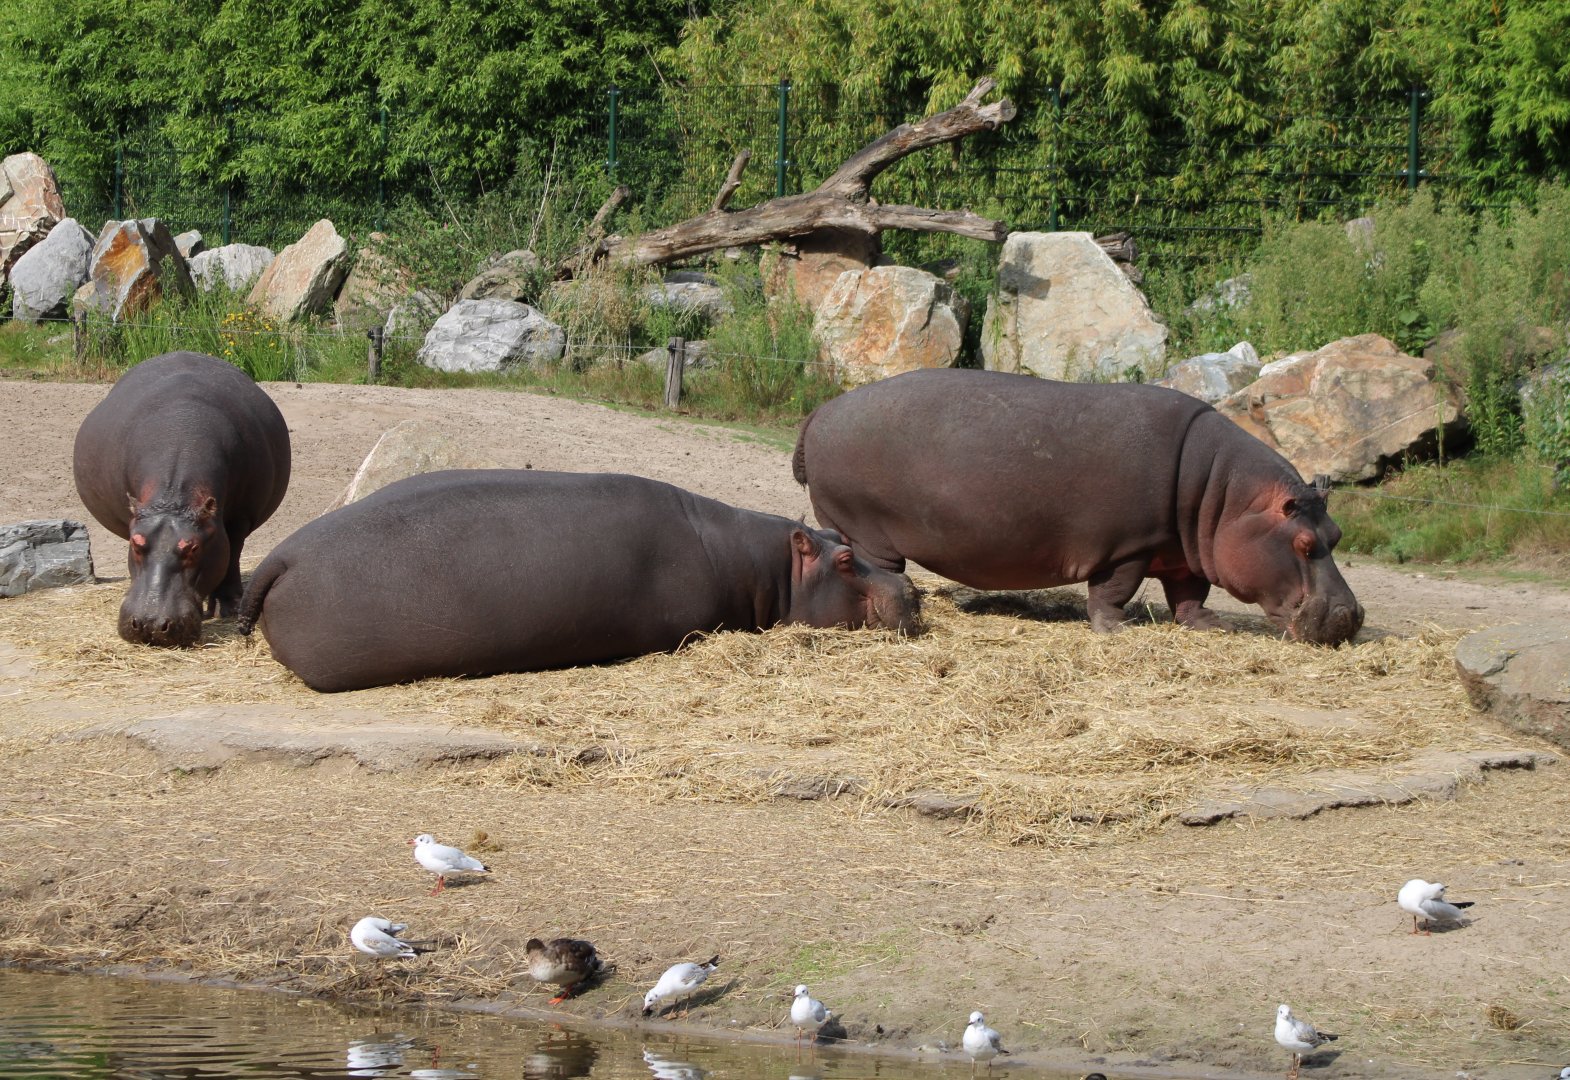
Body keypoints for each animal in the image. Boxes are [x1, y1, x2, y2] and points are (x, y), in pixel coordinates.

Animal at [72, 351, 291, 646]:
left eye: (194, 547)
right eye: (135, 543)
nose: (151, 625)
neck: (173, 500)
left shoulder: (239, 518)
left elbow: (232, 553)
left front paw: (229, 607)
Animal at [792, 368, 1363, 645]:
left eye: (1336, 534)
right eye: (1303, 543)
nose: (1351, 616)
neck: (1224, 496)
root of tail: (820, 411)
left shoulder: (1182, 551)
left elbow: (1189, 593)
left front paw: (1208, 625)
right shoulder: (1129, 546)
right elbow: (1113, 590)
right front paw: (1117, 630)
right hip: (867, 530)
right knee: (881, 567)